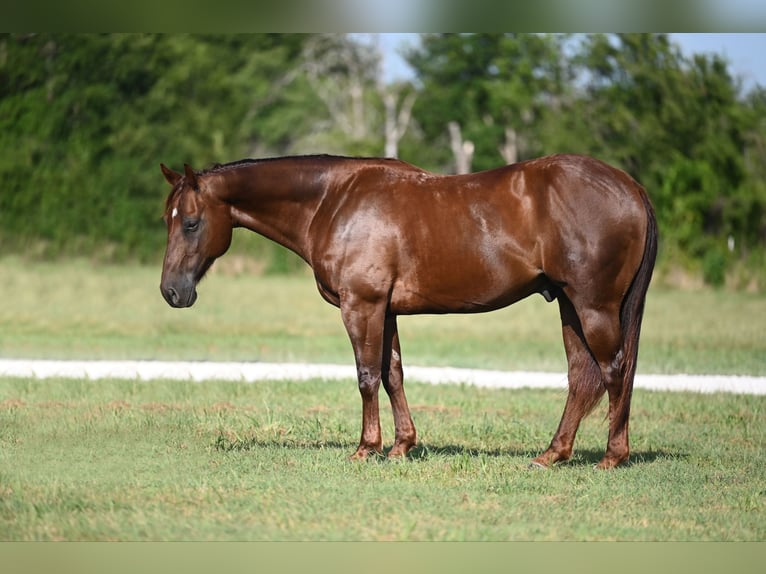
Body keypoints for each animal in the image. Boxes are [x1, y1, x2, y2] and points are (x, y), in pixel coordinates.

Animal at [159, 155, 656, 470]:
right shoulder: (386, 310)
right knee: (581, 377)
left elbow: (366, 376)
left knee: (614, 370)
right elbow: (392, 373)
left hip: (593, 306)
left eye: (191, 222)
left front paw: (366, 448)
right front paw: (401, 446)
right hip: (570, 306)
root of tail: (630, 186)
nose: (171, 292)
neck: (333, 200)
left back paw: (612, 456)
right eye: (168, 219)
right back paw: (552, 454)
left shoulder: (362, 306)